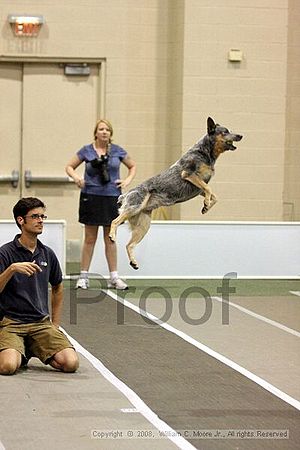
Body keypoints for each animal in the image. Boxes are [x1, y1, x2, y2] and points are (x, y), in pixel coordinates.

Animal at [109, 118, 243, 268]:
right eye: (225, 132)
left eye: (230, 130)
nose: (240, 135)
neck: (205, 152)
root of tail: (125, 194)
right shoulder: (189, 175)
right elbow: (209, 190)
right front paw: (206, 204)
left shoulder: (199, 189)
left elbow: (214, 196)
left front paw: (206, 207)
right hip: (134, 208)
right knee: (114, 222)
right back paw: (112, 236)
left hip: (143, 225)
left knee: (129, 245)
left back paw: (133, 262)